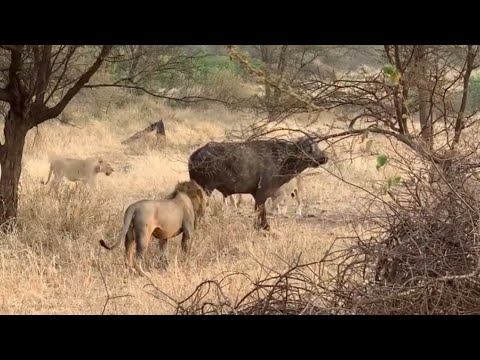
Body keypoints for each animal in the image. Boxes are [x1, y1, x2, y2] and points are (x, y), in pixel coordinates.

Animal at [189, 135, 328, 231]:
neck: (283, 158)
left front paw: (259, 226)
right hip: (205, 189)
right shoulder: (263, 192)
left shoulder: (257, 194)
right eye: (310, 149)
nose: (325, 157)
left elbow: (260, 210)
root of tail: (195, 155)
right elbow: (262, 210)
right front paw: (265, 226)